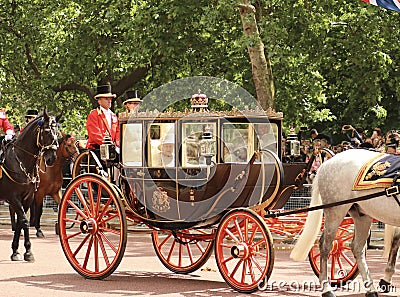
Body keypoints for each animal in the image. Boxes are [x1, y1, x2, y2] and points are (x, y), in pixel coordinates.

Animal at [0, 108, 60, 260]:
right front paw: (27, 251)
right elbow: (24, 221)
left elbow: (21, 222)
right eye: (46, 131)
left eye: (57, 132)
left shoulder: (27, 197)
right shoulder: (13, 197)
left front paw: (17, 251)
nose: (51, 159)